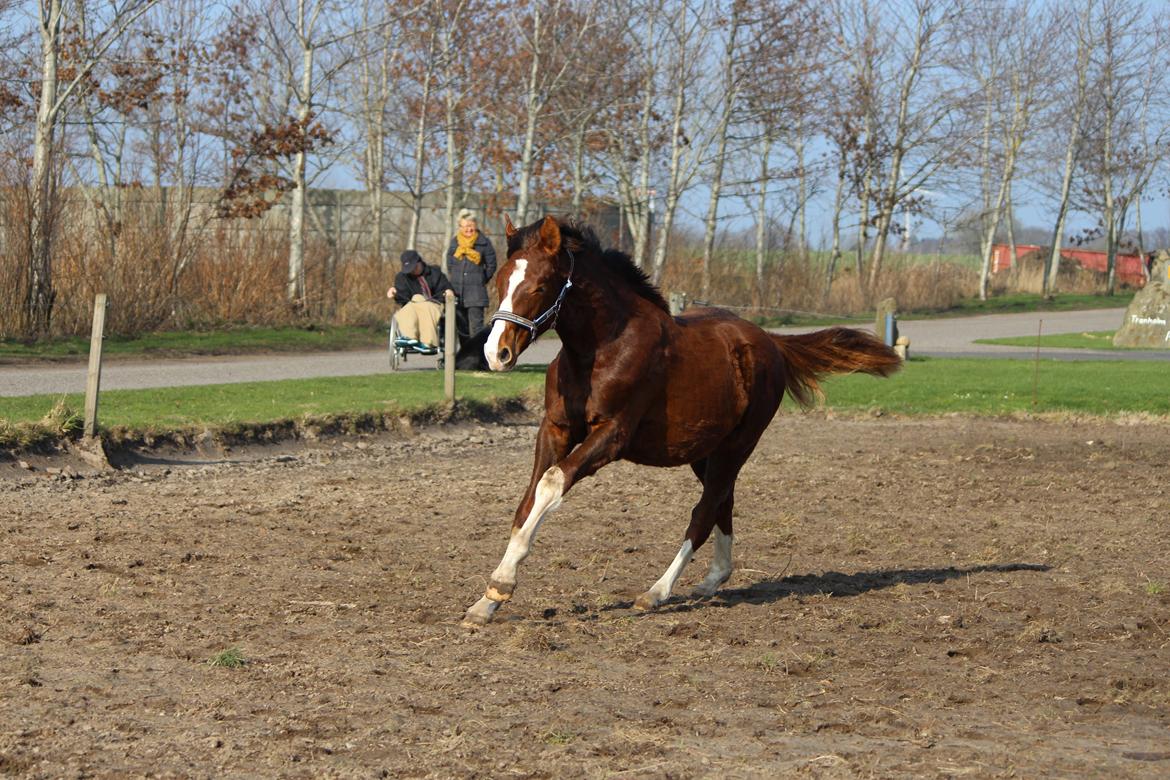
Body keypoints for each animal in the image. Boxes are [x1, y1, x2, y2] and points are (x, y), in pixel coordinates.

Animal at [460, 215, 898, 626]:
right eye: (501, 280)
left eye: (539, 285)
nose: (495, 353)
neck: (599, 350)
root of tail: (771, 343)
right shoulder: (556, 429)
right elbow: (527, 500)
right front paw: (486, 603)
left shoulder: (613, 435)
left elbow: (550, 484)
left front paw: (500, 585)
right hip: (705, 452)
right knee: (722, 501)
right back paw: (713, 579)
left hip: (739, 444)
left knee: (704, 511)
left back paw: (656, 593)